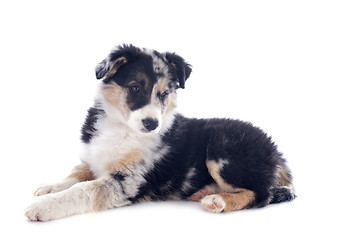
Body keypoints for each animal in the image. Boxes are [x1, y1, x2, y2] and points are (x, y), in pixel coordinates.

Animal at [24, 44, 294, 221]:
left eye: (164, 94)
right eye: (135, 88)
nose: (151, 124)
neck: (122, 128)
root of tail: (276, 153)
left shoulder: (127, 181)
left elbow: (83, 189)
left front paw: (44, 206)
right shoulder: (93, 158)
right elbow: (76, 174)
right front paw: (50, 187)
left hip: (222, 149)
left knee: (262, 194)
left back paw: (218, 200)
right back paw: (207, 191)